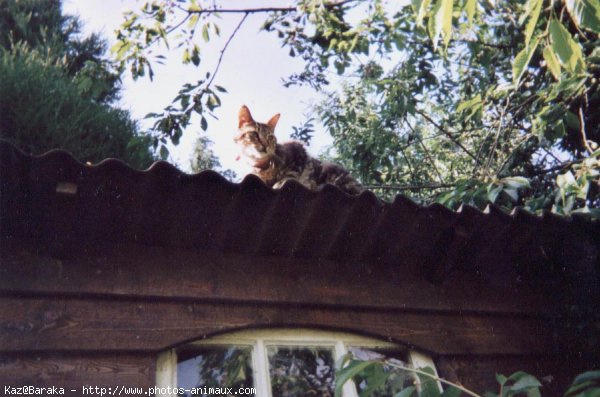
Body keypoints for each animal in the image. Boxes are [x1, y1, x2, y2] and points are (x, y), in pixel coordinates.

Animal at [236, 103, 364, 193]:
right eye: (255, 134)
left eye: (270, 137)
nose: (265, 145)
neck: (261, 167)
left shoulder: (298, 152)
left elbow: (289, 176)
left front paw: (278, 183)